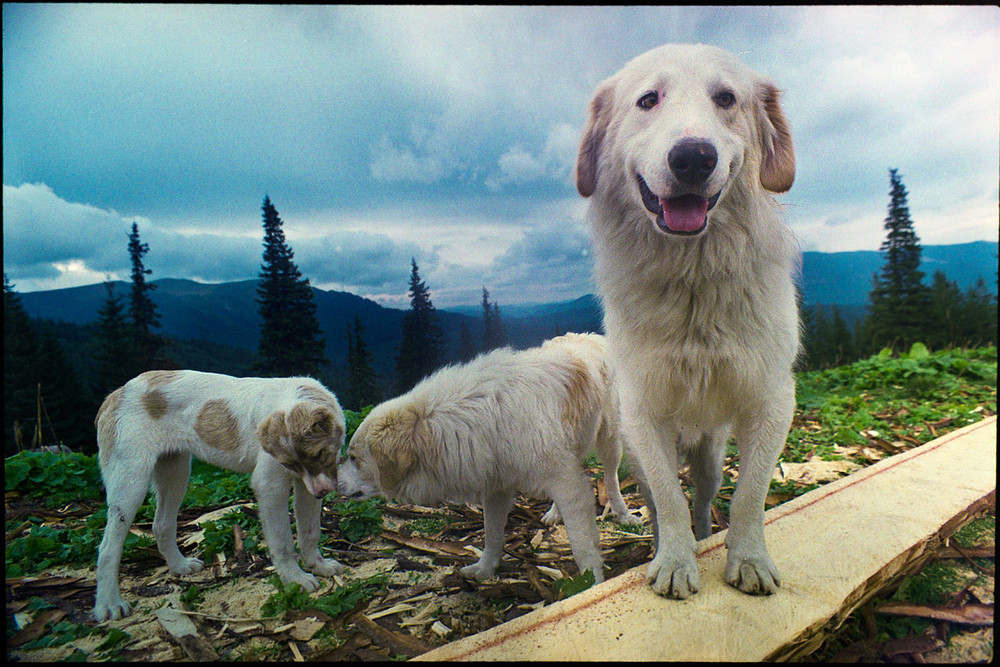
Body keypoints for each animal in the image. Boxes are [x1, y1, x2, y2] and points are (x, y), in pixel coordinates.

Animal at [92, 370, 348, 620]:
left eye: (319, 454)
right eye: (289, 464)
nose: (323, 492)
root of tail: (115, 395)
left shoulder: (307, 488)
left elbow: (310, 533)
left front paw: (318, 565)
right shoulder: (270, 486)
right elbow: (283, 542)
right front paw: (295, 579)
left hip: (175, 473)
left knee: (161, 524)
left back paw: (180, 566)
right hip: (130, 482)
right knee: (108, 547)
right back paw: (109, 604)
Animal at [576, 45, 800, 600]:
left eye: (726, 99)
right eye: (647, 100)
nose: (694, 157)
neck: (693, 275)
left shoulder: (771, 400)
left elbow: (749, 495)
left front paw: (748, 558)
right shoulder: (645, 412)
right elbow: (667, 500)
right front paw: (675, 562)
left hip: (710, 456)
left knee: (703, 497)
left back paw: (704, 535)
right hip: (636, 453)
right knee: (661, 503)